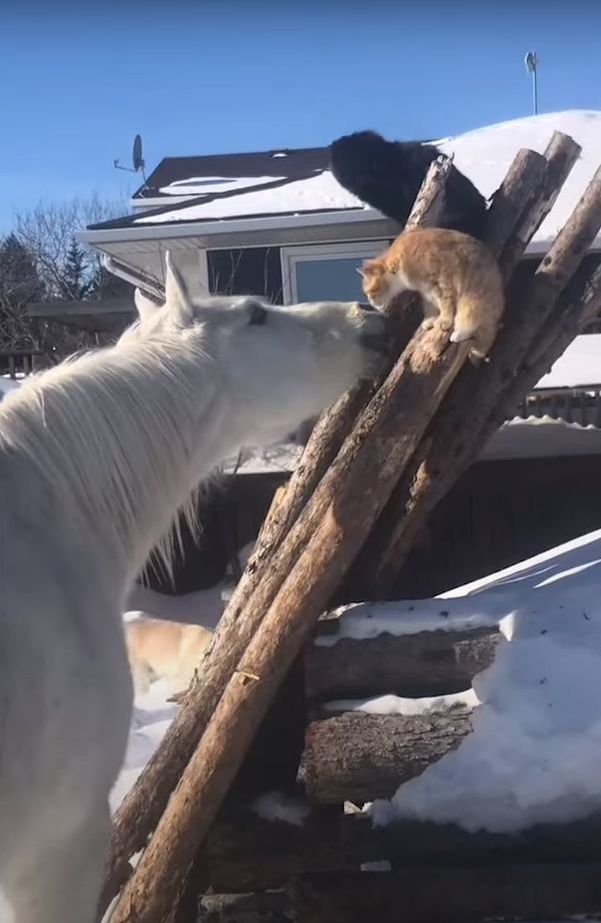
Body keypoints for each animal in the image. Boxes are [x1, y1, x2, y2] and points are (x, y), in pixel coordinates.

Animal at [358, 228, 504, 360]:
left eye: (370, 292)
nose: (371, 302)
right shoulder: (427, 290)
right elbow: (432, 305)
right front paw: (431, 320)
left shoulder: (443, 279)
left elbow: (446, 304)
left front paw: (444, 321)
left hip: (471, 301)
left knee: (472, 322)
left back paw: (460, 333)